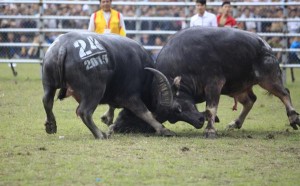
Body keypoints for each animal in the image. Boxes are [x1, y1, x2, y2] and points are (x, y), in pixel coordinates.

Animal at [42, 32, 196, 139]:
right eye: (172, 110)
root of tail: (63, 46)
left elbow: (113, 106)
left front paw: (107, 118)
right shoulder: (131, 96)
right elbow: (145, 113)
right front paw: (164, 130)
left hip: (48, 84)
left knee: (47, 101)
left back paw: (51, 125)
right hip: (95, 90)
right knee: (84, 112)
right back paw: (101, 135)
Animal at [112, 26, 300, 138]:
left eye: (178, 108)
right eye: (173, 119)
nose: (198, 122)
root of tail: (265, 45)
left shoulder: (214, 83)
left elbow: (210, 108)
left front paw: (210, 130)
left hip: (268, 77)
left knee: (284, 93)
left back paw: (293, 118)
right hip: (238, 87)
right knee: (250, 100)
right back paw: (235, 123)